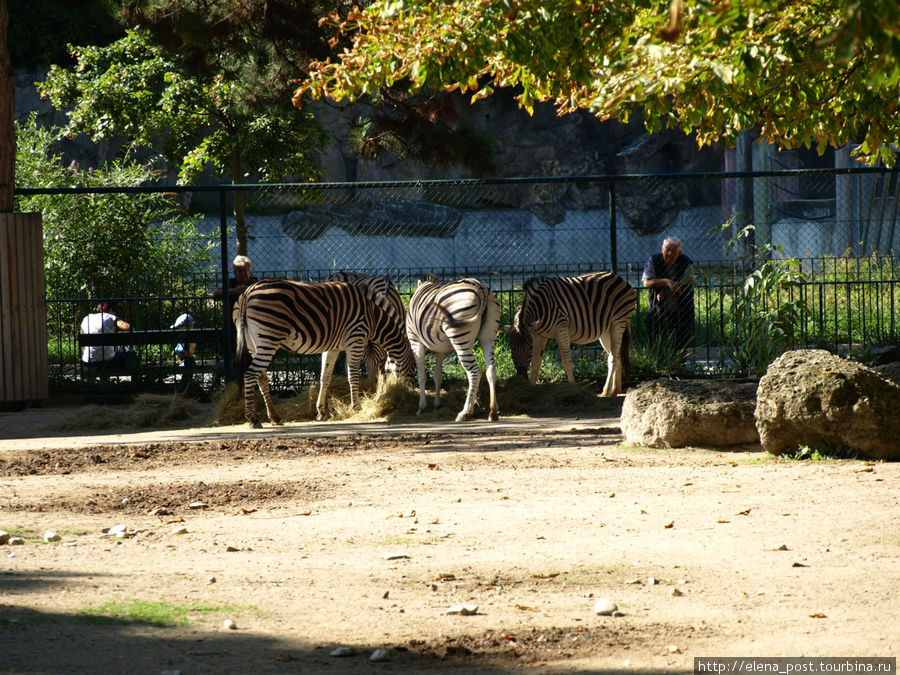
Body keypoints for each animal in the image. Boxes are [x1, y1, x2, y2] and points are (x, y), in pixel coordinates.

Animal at [232, 278, 414, 428]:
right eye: (413, 364)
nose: (410, 391)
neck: (373, 317)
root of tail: (247, 293)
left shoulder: (332, 347)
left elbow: (325, 377)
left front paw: (321, 412)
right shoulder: (356, 339)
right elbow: (353, 376)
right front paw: (356, 407)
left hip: (254, 344)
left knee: (261, 378)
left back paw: (275, 417)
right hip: (269, 338)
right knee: (250, 374)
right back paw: (253, 419)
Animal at [406, 274, 502, 422]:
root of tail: (481, 288)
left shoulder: (415, 340)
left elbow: (422, 375)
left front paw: (421, 407)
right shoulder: (439, 349)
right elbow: (437, 376)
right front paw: (437, 405)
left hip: (459, 337)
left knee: (474, 371)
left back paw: (465, 412)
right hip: (488, 336)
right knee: (490, 370)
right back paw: (492, 412)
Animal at [500, 270, 640, 396]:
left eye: (528, 348)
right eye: (511, 347)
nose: (521, 376)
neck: (540, 306)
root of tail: (620, 278)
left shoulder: (561, 330)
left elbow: (567, 361)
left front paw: (573, 387)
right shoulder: (539, 336)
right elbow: (536, 363)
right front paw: (531, 388)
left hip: (618, 321)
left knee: (612, 358)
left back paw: (606, 392)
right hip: (606, 330)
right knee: (617, 356)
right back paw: (615, 390)